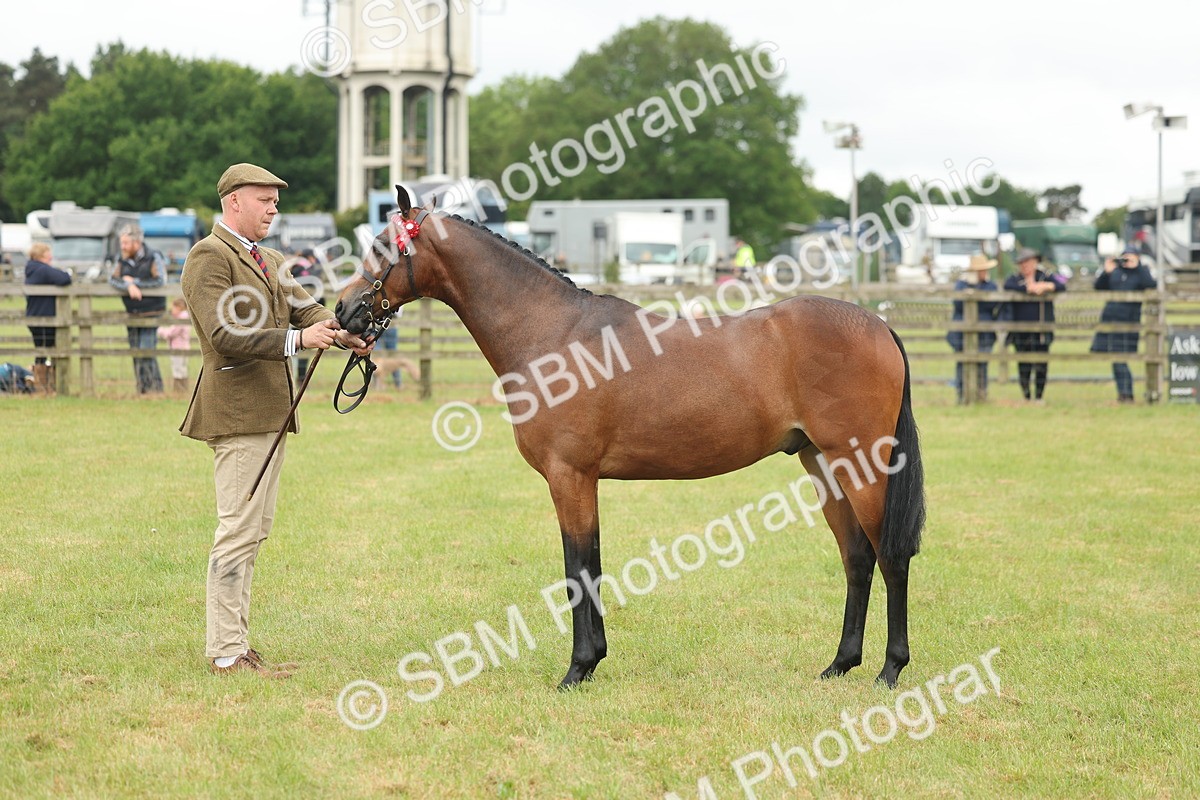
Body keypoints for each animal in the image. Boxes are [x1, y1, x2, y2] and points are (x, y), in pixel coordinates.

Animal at [335, 187, 926, 690]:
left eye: (384, 246)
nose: (342, 310)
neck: (553, 333)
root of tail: (877, 324)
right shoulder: (583, 480)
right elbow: (591, 563)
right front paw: (593, 661)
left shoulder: (570, 476)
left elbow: (577, 568)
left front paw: (577, 669)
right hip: (823, 465)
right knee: (857, 558)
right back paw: (840, 664)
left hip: (863, 466)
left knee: (891, 557)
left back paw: (889, 670)